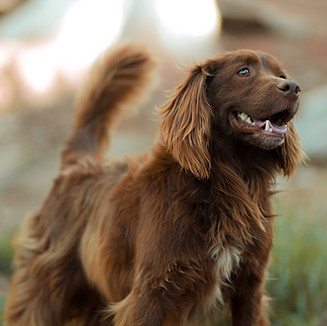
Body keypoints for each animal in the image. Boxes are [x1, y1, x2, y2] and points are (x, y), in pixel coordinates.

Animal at [4, 44, 304, 324]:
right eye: (243, 72)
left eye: (281, 74)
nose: (293, 87)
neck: (229, 183)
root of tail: (78, 164)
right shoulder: (151, 293)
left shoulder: (250, 287)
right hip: (45, 286)